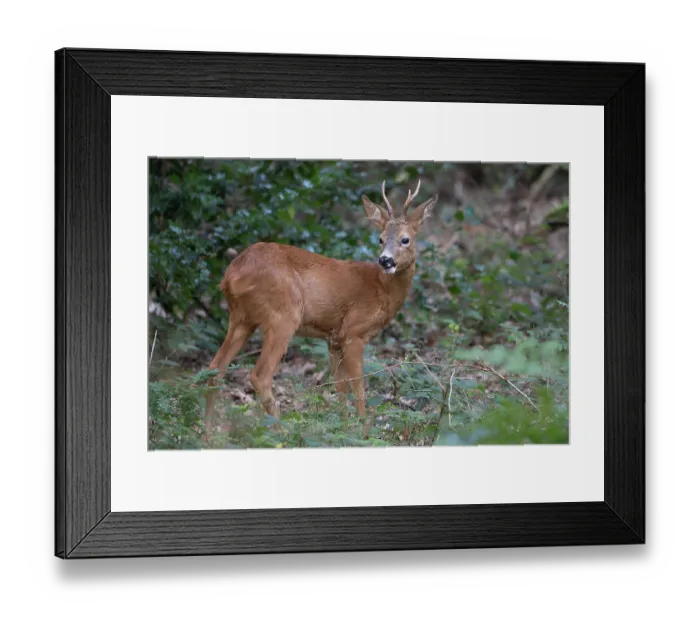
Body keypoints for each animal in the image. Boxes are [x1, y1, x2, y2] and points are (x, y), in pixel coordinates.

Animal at [202, 179, 438, 441]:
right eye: (380, 238)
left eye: (405, 239)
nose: (385, 261)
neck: (381, 289)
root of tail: (231, 276)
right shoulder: (354, 332)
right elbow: (359, 386)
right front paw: (364, 434)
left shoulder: (333, 338)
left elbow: (340, 386)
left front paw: (344, 430)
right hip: (284, 314)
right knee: (259, 375)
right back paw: (280, 436)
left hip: (240, 317)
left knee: (215, 368)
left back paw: (208, 436)